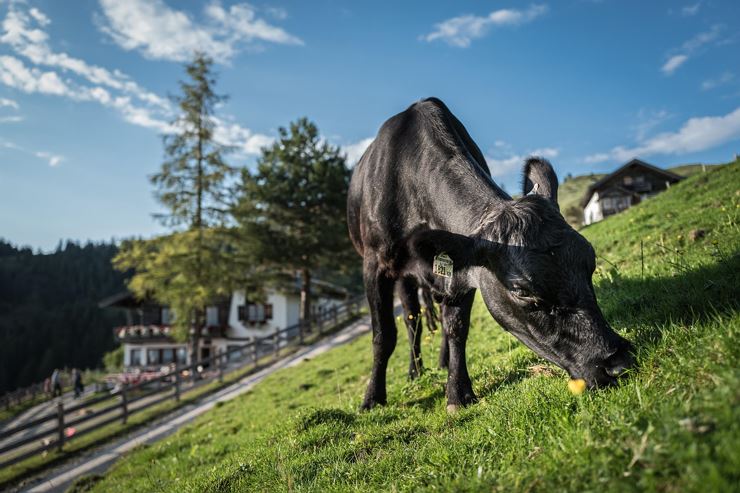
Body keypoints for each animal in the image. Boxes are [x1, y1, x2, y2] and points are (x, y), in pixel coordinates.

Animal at [347, 97, 634, 412]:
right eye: (522, 291)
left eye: (590, 263)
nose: (617, 363)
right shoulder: (374, 266)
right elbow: (383, 334)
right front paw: (372, 398)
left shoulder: (464, 271)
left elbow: (456, 327)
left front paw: (457, 392)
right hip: (402, 278)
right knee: (412, 321)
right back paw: (415, 370)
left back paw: (442, 361)